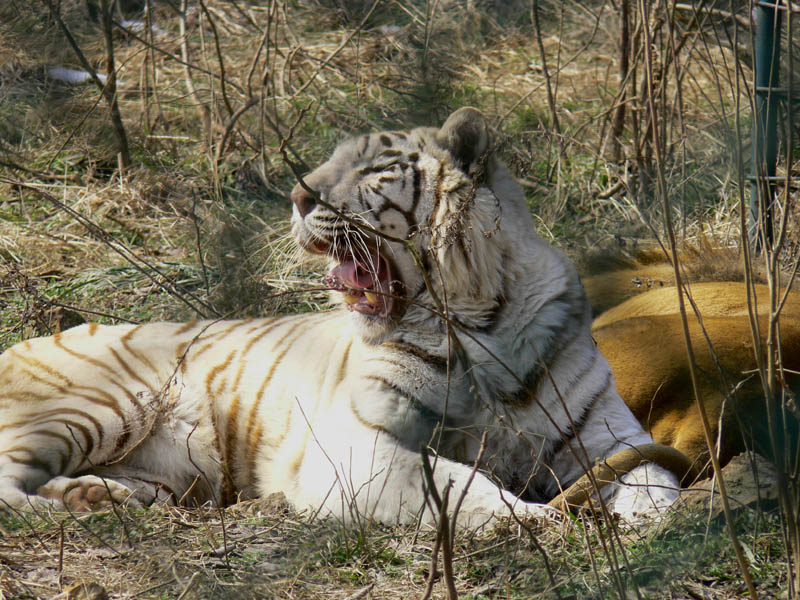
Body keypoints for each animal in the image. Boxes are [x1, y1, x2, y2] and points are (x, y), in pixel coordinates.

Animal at [0, 110, 680, 528]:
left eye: (375, 170)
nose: (298, 196)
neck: (477, 321)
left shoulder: (608, 437)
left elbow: (656, 480)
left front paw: (657, 526)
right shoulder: (359, 446)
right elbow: (460, 485)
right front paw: (543, 521)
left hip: (167, 473)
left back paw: (99, 496)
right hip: (97, 402)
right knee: (8, 487)